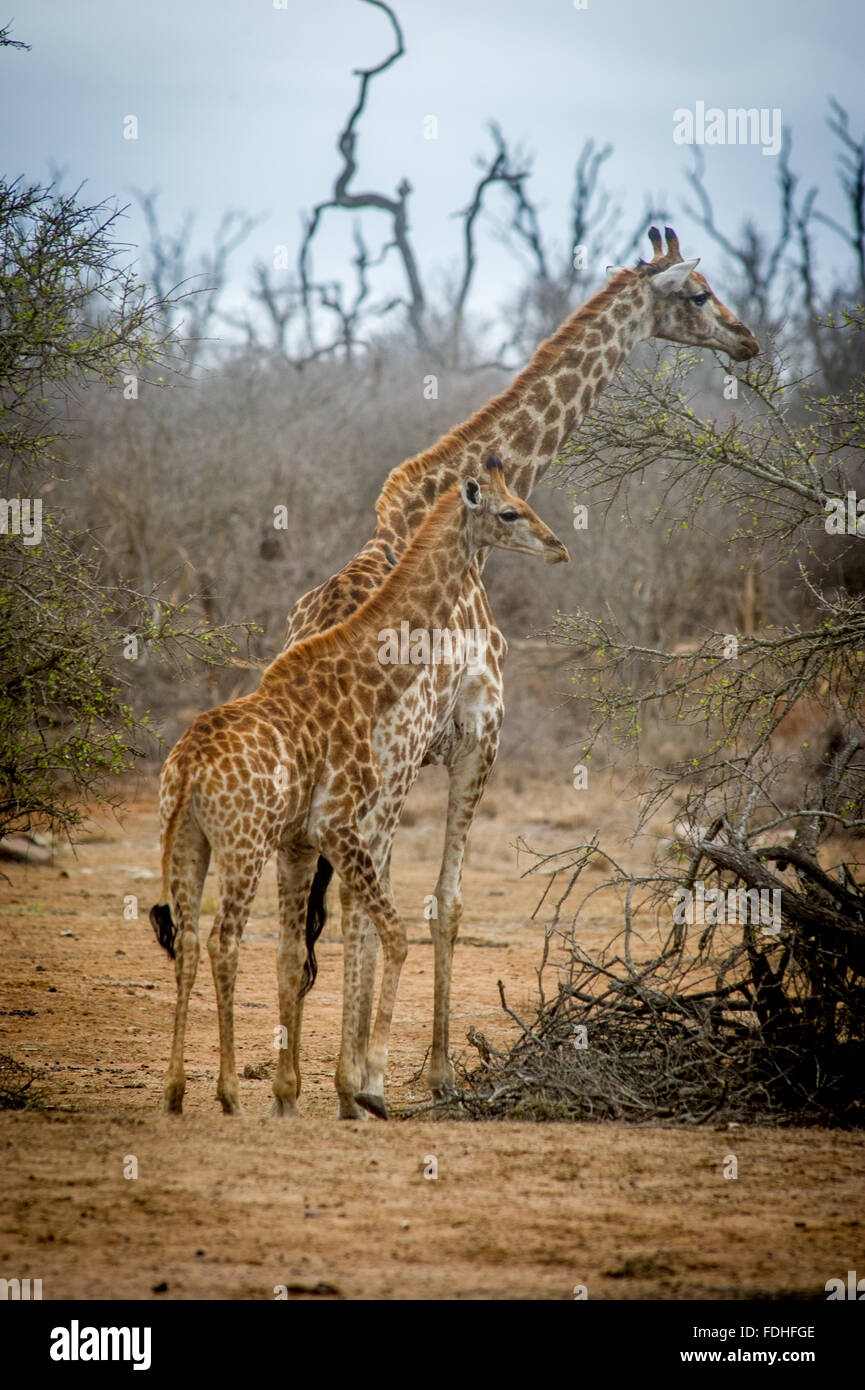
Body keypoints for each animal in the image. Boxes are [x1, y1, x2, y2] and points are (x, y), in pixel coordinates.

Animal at [148, 461, 570, 1112]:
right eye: (509, 512)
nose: (558, 547)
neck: (366, 675)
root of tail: (189, 768)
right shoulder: (339, 823)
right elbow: (393, 934)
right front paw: (371, 1086)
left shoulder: (307, 838)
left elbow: (319, 945)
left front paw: (319, 1088)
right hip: (244, 845)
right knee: (224, 941)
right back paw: (229, 1094)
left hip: (186, 841)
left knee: (191, 942)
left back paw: (175, 1093)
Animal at [285, 227, 756, 1117]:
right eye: (697, 292)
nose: (747, 339)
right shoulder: (478, 737)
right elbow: (447, 902)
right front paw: (432, 1071)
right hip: (379, 775)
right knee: (359, 900)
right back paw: (353, 1081)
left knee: (296, 898)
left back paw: (294, 1084)